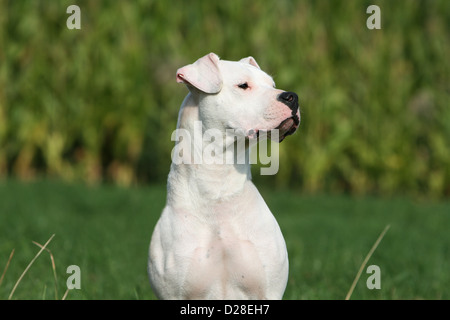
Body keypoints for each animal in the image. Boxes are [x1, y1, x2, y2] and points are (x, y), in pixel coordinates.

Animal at [149, 52, 300, 300]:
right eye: (243, 85)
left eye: (272, 85)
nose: (292, 97)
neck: (217, 189)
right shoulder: (174, 293)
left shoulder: (268, 291)